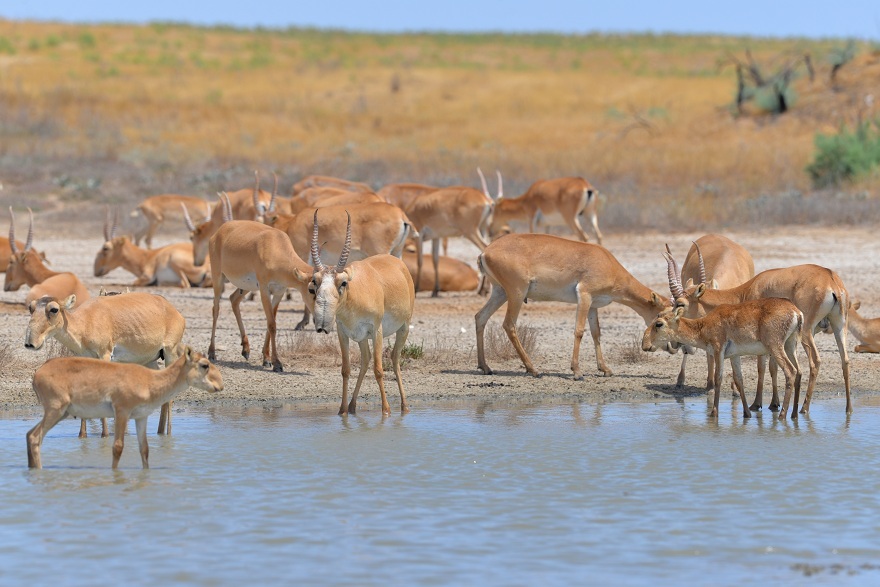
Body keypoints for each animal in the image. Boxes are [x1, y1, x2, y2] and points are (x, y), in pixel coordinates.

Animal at [25, 292, 187, 438]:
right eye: (31, 307)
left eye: (54, 309)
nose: (30, 343)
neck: (85, 322)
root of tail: (173, 310)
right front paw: (82, 435)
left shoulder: (105, 355)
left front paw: (105, 434)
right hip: (150, 360)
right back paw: (160, 432)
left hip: (170, 352)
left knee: (170, 396)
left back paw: (167, 434)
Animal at [27, 346, 223, 470]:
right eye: (205, 365)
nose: (220, 385)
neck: (150, 380)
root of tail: (38, 373)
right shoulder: (121, 412)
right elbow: (118, 447)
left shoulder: (141, 417)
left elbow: (144, 449)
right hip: (55, 411)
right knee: (36, 437)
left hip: (60, 413)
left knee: (29, 434)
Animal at [300, 210, 414, 414]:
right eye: (314, 283)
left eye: (343, 282)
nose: (322, 325)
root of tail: (398, 263)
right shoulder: (344, 333)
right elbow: (345, 370)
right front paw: (342, 411)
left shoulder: (376, 331)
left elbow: (378, 370)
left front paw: (386, 411)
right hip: (362, 338)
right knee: (366, 360)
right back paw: (352, 406)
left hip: (404, 328)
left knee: (394, 358)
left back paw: (404, 406)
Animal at [478, 234, 672, 382]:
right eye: (661, 316)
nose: (671, 347)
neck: (606, 262)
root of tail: (486, 251)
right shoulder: (584, 296)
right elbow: (579, 331)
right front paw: (577, 372)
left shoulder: (594, 304)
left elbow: (596, 333)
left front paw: (605, 369)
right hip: (516, 294)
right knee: (509, 325)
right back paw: (534, 370)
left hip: (500, 293)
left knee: (480, 317)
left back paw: (485, 367)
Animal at [640, 300, 804, 420]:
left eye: (659, 323)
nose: (644, 344)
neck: (703, 326)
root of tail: (796, 312)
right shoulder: (734, 356)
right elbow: (739, 380)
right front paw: (747, 413)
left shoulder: (718, 351)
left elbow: (718, 378)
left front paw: (713, 413)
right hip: (791, 346)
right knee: (799, 372)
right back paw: (794, 414)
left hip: (776, 347)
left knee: (790, 371)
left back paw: (782, 415)